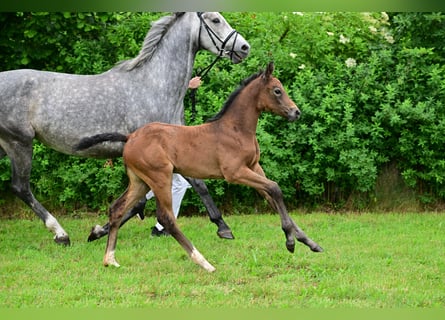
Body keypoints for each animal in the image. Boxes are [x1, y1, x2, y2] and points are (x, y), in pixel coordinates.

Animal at [0, 11, 250, 244]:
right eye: (215, 20)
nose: (244, 47)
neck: (153, 86)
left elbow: (147, 197)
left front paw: (99, 230)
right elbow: (192, 184)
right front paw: (223, 227)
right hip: (19, 142)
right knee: (21, 187)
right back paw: (61, 234)